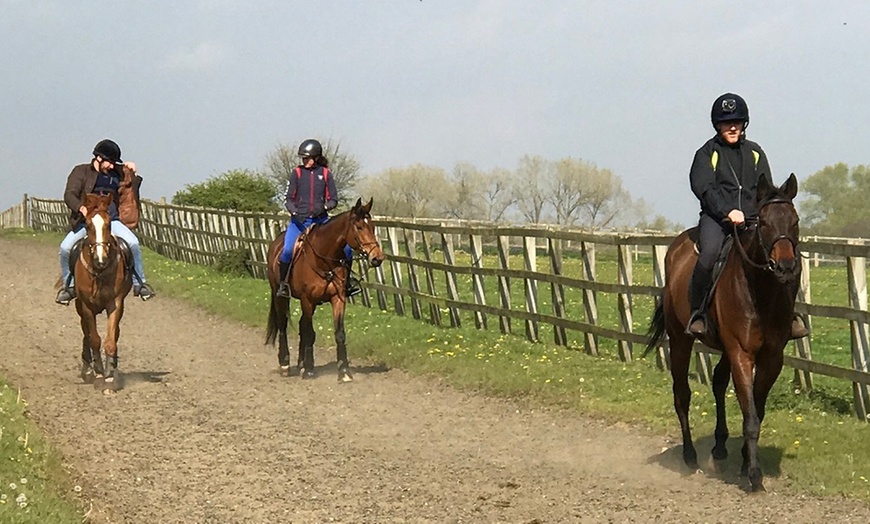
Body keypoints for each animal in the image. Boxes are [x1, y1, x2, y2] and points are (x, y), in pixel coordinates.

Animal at [73, 193, 135, 392]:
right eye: (87, 225)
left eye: (108, 225)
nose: (101, 260)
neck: (99, 272)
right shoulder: (86, 306)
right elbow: (94, 339)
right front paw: (99, 374)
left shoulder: (115, 304)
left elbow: (110, 341)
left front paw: (109, 377)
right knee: (86, 333)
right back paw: (88, 370)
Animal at [266, 199, 384, 382]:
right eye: (359, 227)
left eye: (372, 227)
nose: (377, 258)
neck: (324, 259)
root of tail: (276, 244)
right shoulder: (307, 300)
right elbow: (309, 333)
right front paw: (308, 370)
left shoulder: (338, 298)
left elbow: (339, 333)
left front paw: (344, 371)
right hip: (281, 296)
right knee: (283, 324)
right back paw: (285, 363)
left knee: (301, 325)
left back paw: (301, 364)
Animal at [648, 173, 804, 492]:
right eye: (764, 222)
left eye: (794, 221)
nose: (785, 266)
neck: (761, 292)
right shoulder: (742, 354)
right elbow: (751, 416)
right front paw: (754, 475)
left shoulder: (772, 357)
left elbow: (756, 409)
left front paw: (745, 461)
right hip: (681, 341)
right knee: (682, 395)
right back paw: (690, 456)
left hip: (723, 348)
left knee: (719, 383)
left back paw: (719, 447)